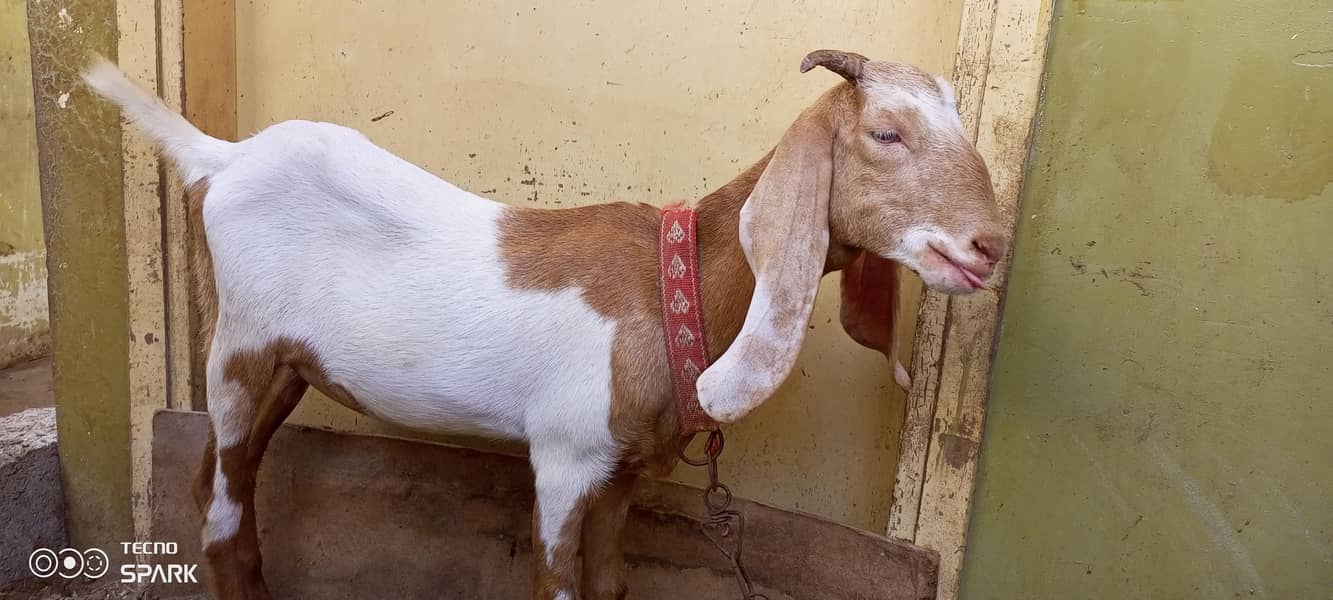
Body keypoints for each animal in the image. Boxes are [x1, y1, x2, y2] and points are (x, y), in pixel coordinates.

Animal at [83, 49, 1006, 600]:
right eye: (884, 132)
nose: (989, 246)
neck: (665, 284)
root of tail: (222, 158)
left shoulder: (624, 470)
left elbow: (609, 585)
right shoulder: (564, 458)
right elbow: (557, 585)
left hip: (287, 367)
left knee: (220, 485)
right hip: (238, 353)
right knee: (220, 510)